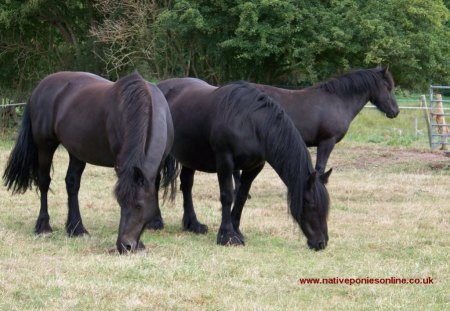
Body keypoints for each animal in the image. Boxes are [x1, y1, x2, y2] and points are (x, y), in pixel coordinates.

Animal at [3, 72, 176, 255]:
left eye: (139, 205)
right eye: (120, 203)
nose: (125, 246)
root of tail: (39, 87)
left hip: (76, 151)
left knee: (72, 183)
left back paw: (76, 229)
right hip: (45, 146)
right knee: (44, 182)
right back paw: (44, 227)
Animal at [157, 79, 330, 252]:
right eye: (310, 204)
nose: (321, 243)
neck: (249, 122)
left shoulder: (254, 167)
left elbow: (241, 197)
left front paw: (236, 230)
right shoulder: (225, 161)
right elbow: (227, 196)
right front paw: (227, 236)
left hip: (190, 155)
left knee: (187, 184)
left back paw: (193, 224)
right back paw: (157, 221)